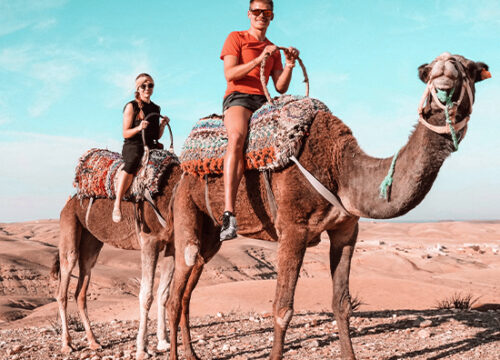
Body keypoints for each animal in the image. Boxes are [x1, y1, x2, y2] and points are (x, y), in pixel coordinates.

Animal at [51, 164, 184, 360]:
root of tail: (69, 202)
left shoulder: (171, 245)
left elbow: (163, 293)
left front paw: (164, 342)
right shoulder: (149, 241)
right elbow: (147, 295)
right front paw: (142, 349)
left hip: (91, 243)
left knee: (80, 290)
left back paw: (94, 342)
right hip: (70, 228)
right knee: (62, 288)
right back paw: (67, 345)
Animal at [167, 53, 488, 360]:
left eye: (469, 69)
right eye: (429, 72)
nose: (445, 75)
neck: (339, 167)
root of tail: (184, 170)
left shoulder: (345, 229)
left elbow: (342, 304)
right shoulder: (293, 228)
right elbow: (282, 308)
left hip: (211, 236)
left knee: (188, 288)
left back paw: (192, 354)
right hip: (186, 209)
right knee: (177, 289)